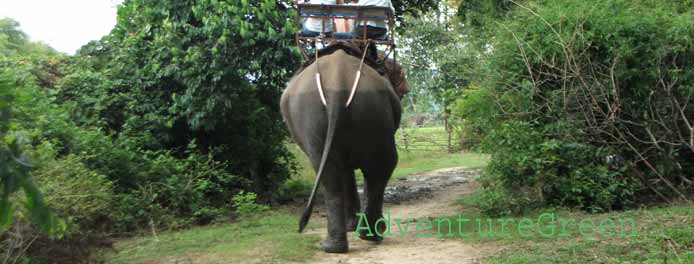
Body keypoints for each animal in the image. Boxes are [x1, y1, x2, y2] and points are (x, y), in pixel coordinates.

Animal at [278, 48, 408, 254]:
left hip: (317, 115)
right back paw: (368, 236)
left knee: (331, 173)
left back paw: (335, 246)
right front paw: (353, 227)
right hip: (372, 110)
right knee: (382, 166)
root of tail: (337, 80)